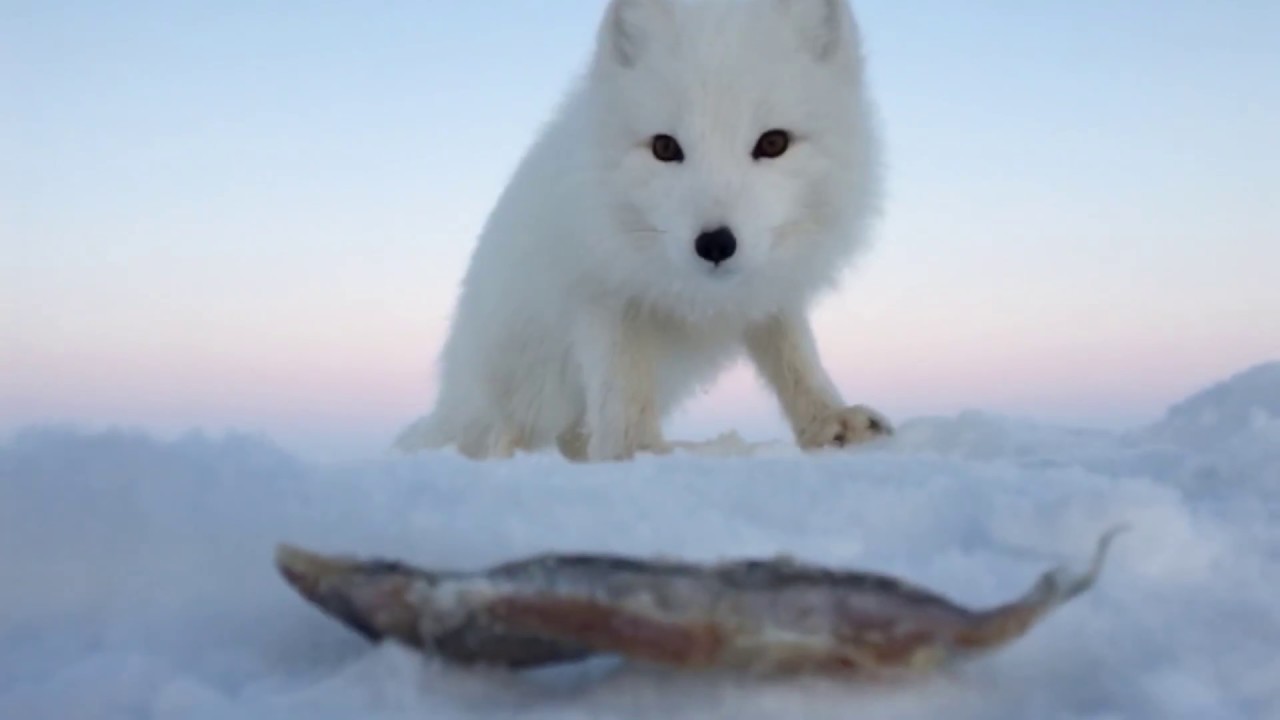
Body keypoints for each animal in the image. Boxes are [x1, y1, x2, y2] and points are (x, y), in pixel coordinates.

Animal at [396, 0, 890, 458]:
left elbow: (795, 358)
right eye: (665, 147)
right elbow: (623, 397)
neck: (700, 299)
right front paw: (642, 452)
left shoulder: (770, 288)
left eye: (773, 142)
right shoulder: (603, 293)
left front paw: (829, 421)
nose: (715, 243)